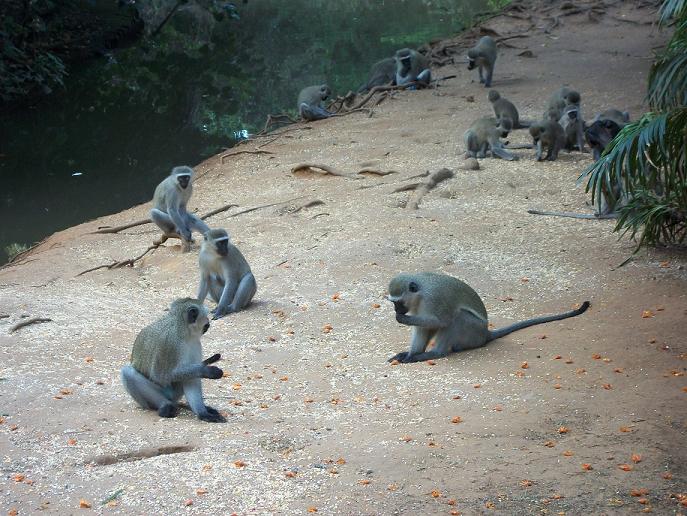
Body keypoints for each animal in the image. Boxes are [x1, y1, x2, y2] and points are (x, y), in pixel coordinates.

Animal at [388, 272, 592, 364]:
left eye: (398, 302)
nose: (397, 309)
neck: (420, 294)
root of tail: (486, 333)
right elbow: (424, 327)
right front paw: (409, 354)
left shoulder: (435, 299)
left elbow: (441, 321)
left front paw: (403, 320)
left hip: (473, 332)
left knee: (458, 317)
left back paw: (435, 353)